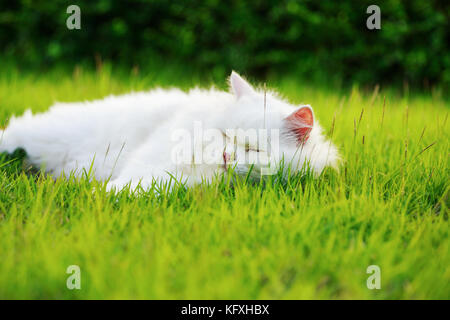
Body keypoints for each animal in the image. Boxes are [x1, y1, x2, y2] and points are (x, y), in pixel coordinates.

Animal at [0, 71, 338, 191]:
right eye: (224, 135)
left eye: (254, 150)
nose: (226, 156)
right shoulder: (155, 154)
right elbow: (130, 180)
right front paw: (100, 195)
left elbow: (147, 185)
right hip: (44, 135)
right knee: (14, 129)